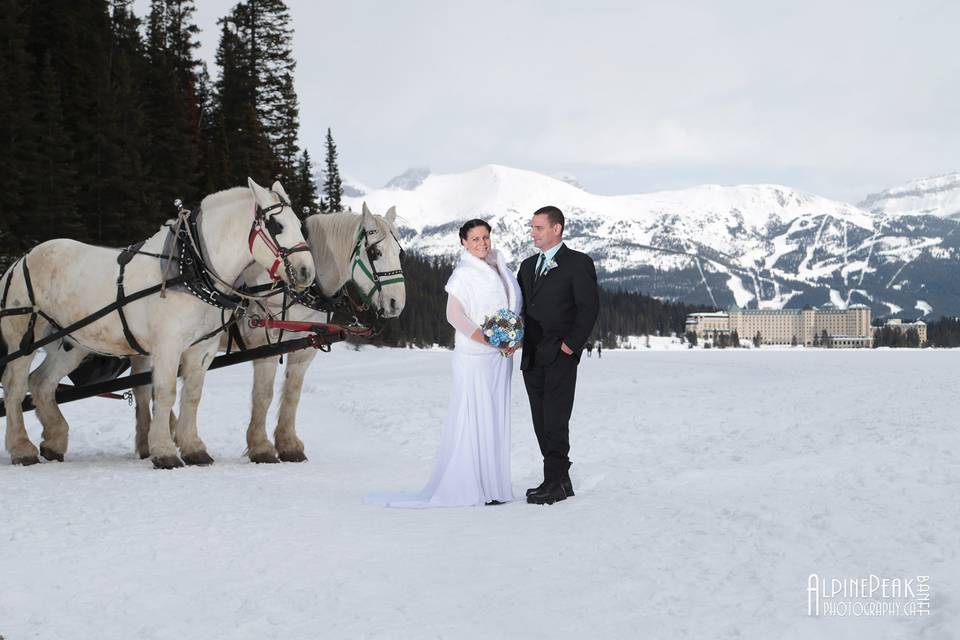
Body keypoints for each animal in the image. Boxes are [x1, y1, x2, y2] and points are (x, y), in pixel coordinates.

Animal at [0, 178, 316, 468]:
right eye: (276, 225)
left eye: (300, 225)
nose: (306, 272)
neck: (190, 269)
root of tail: (19, 260)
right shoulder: (168, 345)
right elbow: (165, 393)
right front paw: (164, 452)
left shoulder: (202, 348)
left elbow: (192, 395)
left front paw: (193, 449)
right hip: (24, 337)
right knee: (15, 385)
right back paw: (22, 448)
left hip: (70, 343)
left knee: (41, 383)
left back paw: (54, 441)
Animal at [123, 202, 404, 462]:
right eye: (375, 252)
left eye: (400, 252)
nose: (396, 304)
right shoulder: (265, 345)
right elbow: (263, 395)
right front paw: (260, 447)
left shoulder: (303, 350)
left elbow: (292, 394)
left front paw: (288, 445)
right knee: (143, 389)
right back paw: (152, 441)